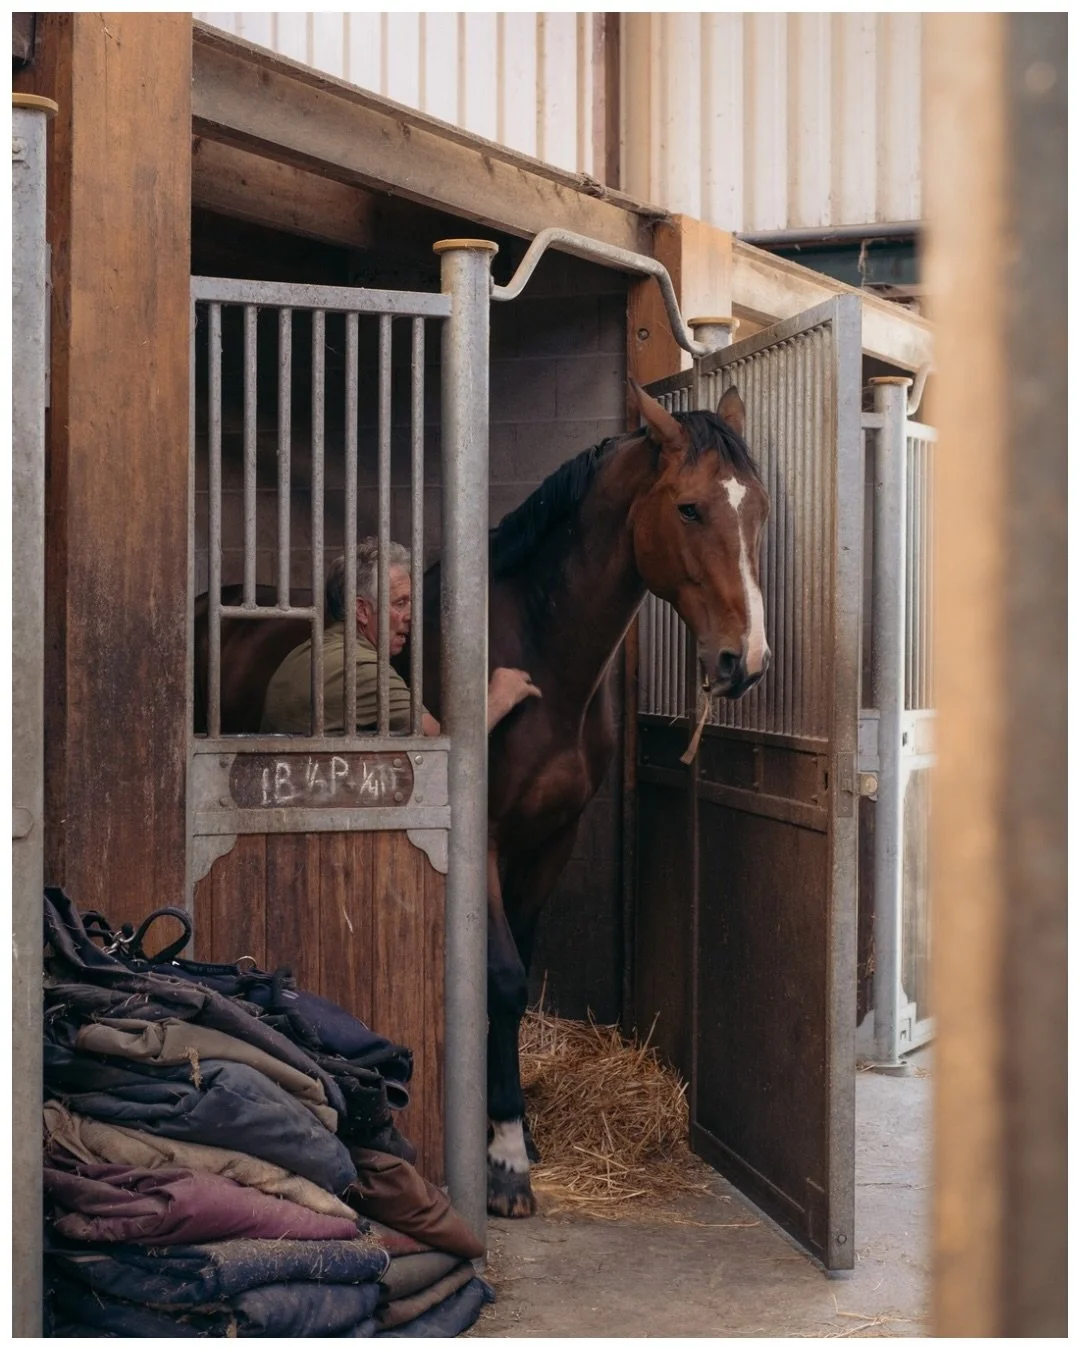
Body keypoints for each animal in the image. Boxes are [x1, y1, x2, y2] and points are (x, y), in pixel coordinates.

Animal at [194, 381, 770, 1218]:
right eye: (690, 508)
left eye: (758, 509)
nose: (744, 660)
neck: (539, 661)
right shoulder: (485, 839)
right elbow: (498, 979)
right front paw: (503, 1162)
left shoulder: (549, 841)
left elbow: (518, 976)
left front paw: (516, 1131)